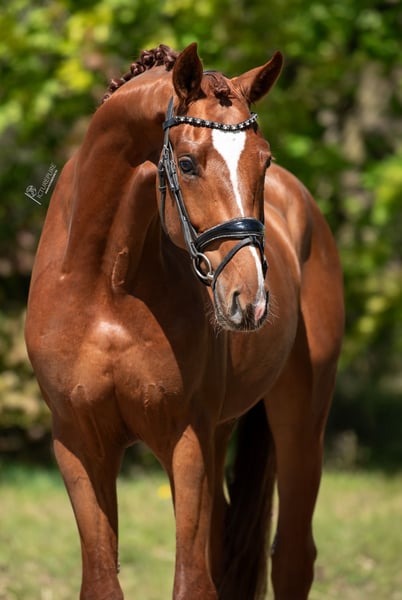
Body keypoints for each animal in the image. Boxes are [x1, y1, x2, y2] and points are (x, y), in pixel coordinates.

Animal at [25, 43, 344, 599]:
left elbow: (192, 581)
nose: (250, 300)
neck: (107, 285)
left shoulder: (185, 439)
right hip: (221, 431)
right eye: (189, 164)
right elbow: (103, 581)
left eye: (264, 161)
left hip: (301, 421)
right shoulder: (78, 445)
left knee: (292, 558)